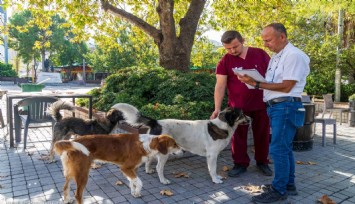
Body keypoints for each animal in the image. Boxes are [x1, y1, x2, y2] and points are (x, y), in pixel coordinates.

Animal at [55, 134, 184, 204]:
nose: (183, 151)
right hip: (83, 173)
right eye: (174, 144)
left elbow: (133, 182)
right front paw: (137, 192)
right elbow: (140, 183)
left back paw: (66, 200)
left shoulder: (132, 169)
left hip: (71, 172)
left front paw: (134, 193)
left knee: (65, 187)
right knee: (78, 195)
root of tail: (73, 141)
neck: (147, 144)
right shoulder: (125, 167)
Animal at [112, 103, 250, 184]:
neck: (222, 126)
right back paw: (163, 180)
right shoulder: (212, 155)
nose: (251, 118)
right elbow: (213, 169)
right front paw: (215, 179)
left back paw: (148, 170)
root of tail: (156, 122)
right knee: (159, 167)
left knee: (149, 160)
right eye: (242, 114)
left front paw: (218, 177)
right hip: (164, 154)